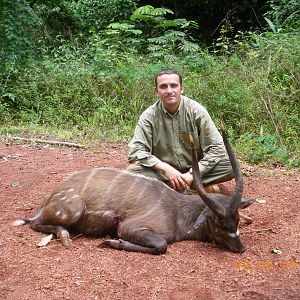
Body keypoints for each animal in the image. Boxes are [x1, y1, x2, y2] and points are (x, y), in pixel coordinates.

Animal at [13, 126, 253, 253]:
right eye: (219, 221)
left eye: (237, 219)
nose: (240, 247)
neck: (179, 213)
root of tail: (49, 198)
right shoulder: (131, 226)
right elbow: (161, 245)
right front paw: (110, 241)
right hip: (73, 209)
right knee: (34, 223)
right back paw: (64, 236)